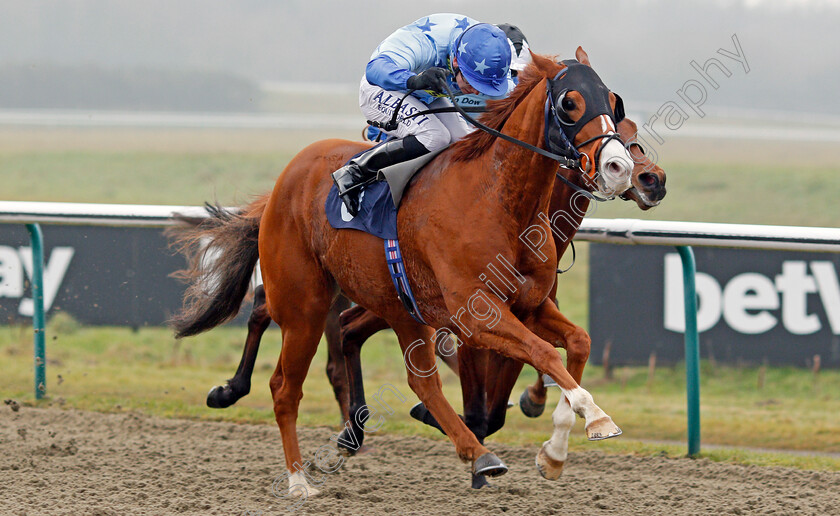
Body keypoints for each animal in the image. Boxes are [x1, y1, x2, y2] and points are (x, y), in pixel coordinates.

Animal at [171, 51, 632, 496]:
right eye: (570, 103)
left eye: (613, 101)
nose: (619, 168)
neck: (499, 201)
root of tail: (284, 182)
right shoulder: (477, 316)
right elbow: (544, 353)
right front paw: (596, 417)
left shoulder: (529, 306)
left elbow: (578, 342)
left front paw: (554, 453)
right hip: (305, 308)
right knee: (285, 387)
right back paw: (298, 481)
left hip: (400, 306)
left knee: (417, 380)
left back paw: (475, 454)